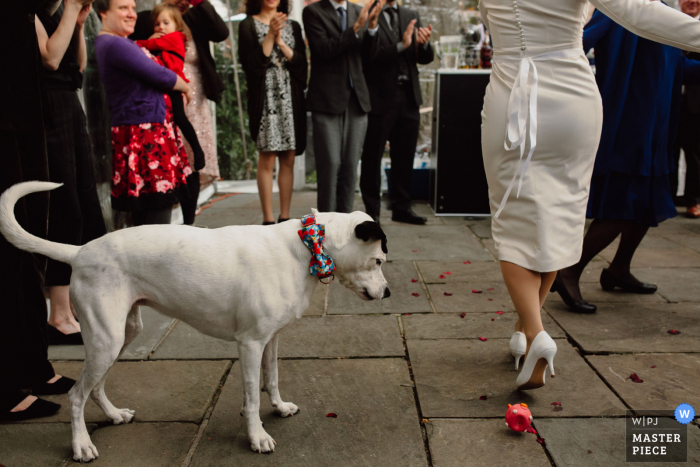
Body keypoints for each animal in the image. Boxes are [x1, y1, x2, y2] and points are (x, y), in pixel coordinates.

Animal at [0, 181, 392, 462]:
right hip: (105, 340)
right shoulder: (250, 342)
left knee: (94, 387)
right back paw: (81, 445)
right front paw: (257, 436)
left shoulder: (270, 339)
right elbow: (252, 395)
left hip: (121, 335)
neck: (307, 246)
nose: (388, 293)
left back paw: (112, 416)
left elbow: (271, 379)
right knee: (76, 394)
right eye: (379, 260)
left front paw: (278, 408)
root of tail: (80, 251)